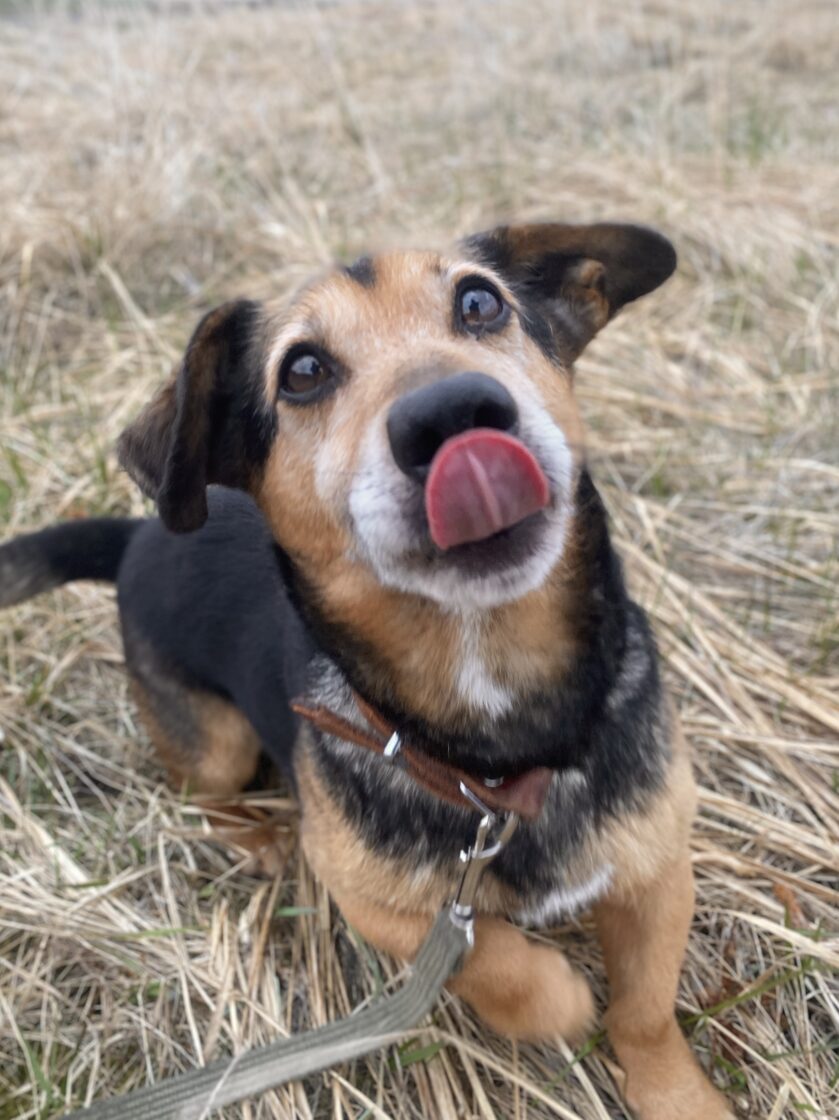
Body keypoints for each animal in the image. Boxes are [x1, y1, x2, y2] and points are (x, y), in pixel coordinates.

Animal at [0, 222, 733, 1119]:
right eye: (303, 370)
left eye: (479, 302)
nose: (453, 411)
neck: (500, 755)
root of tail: (136, 536)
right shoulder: (371, 899)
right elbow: (489, 954)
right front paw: (554, 997)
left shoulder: (657, 870)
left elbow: (646, 1009)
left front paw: (676, 1095)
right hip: (216, 742)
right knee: (199, 792)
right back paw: (256, 835)